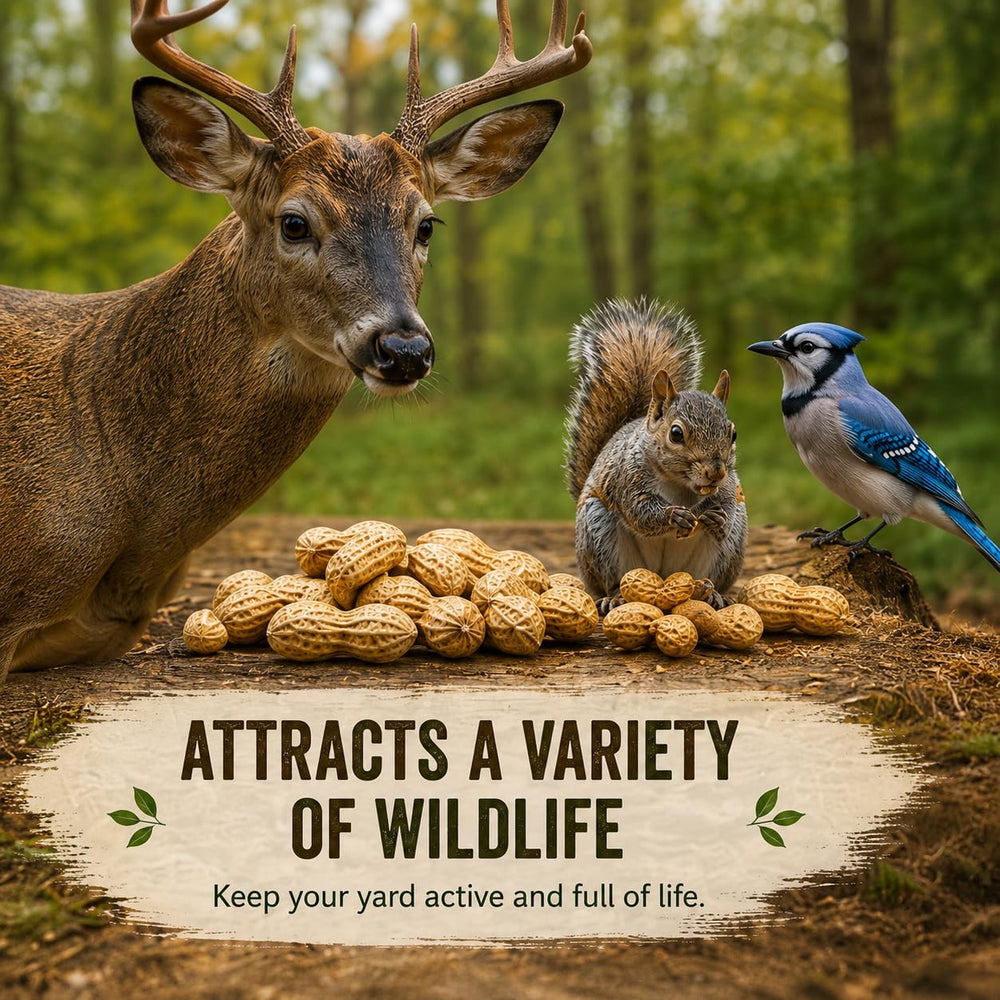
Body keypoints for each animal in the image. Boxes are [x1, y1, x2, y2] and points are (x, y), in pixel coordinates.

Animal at [565, 297, 748, 611]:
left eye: (733, 433)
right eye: (676, 434)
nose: (715, 471)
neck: (681, 485)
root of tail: (662, 576)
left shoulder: (727, 485)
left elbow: (725, 506)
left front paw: (719, 518)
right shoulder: (627, 477)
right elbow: (640, 511)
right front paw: (674, 516)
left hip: (728, 550)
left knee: (708, 577)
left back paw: (712, 594)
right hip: (597, 531)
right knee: (613, 580)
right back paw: (614, 596)